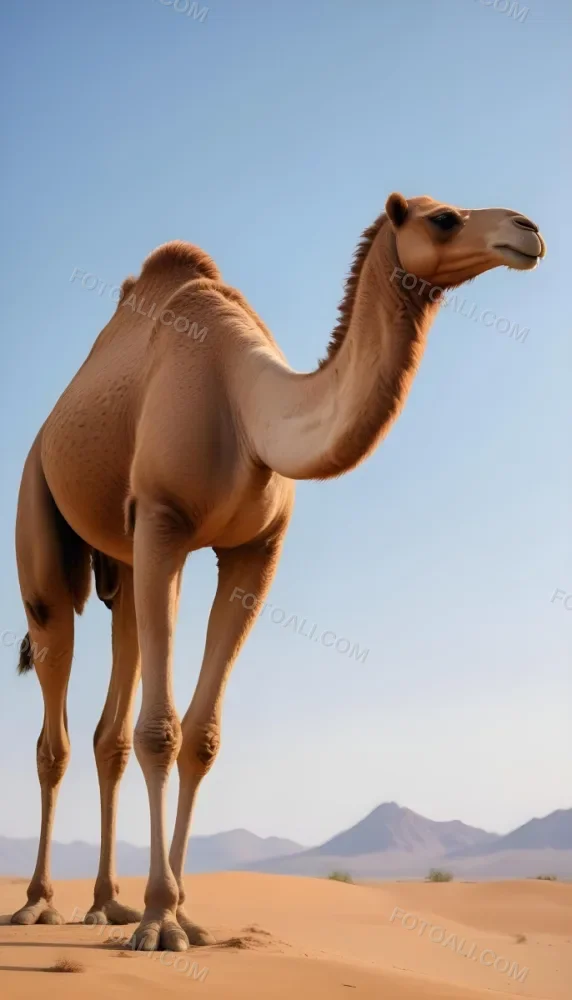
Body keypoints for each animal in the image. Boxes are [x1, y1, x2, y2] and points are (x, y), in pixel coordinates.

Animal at [11, 193, 545, 951]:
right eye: (442, 217)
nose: (528, 231)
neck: (245, 403)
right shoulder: (165, 521)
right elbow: (161, 731)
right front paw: (159, 921)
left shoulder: (256, 548)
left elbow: (201, 737)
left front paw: (183, 916)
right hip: (42, 512)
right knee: (53, 708)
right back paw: (39, 904)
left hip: (123, 558)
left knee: (107, 726)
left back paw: (106, 905)